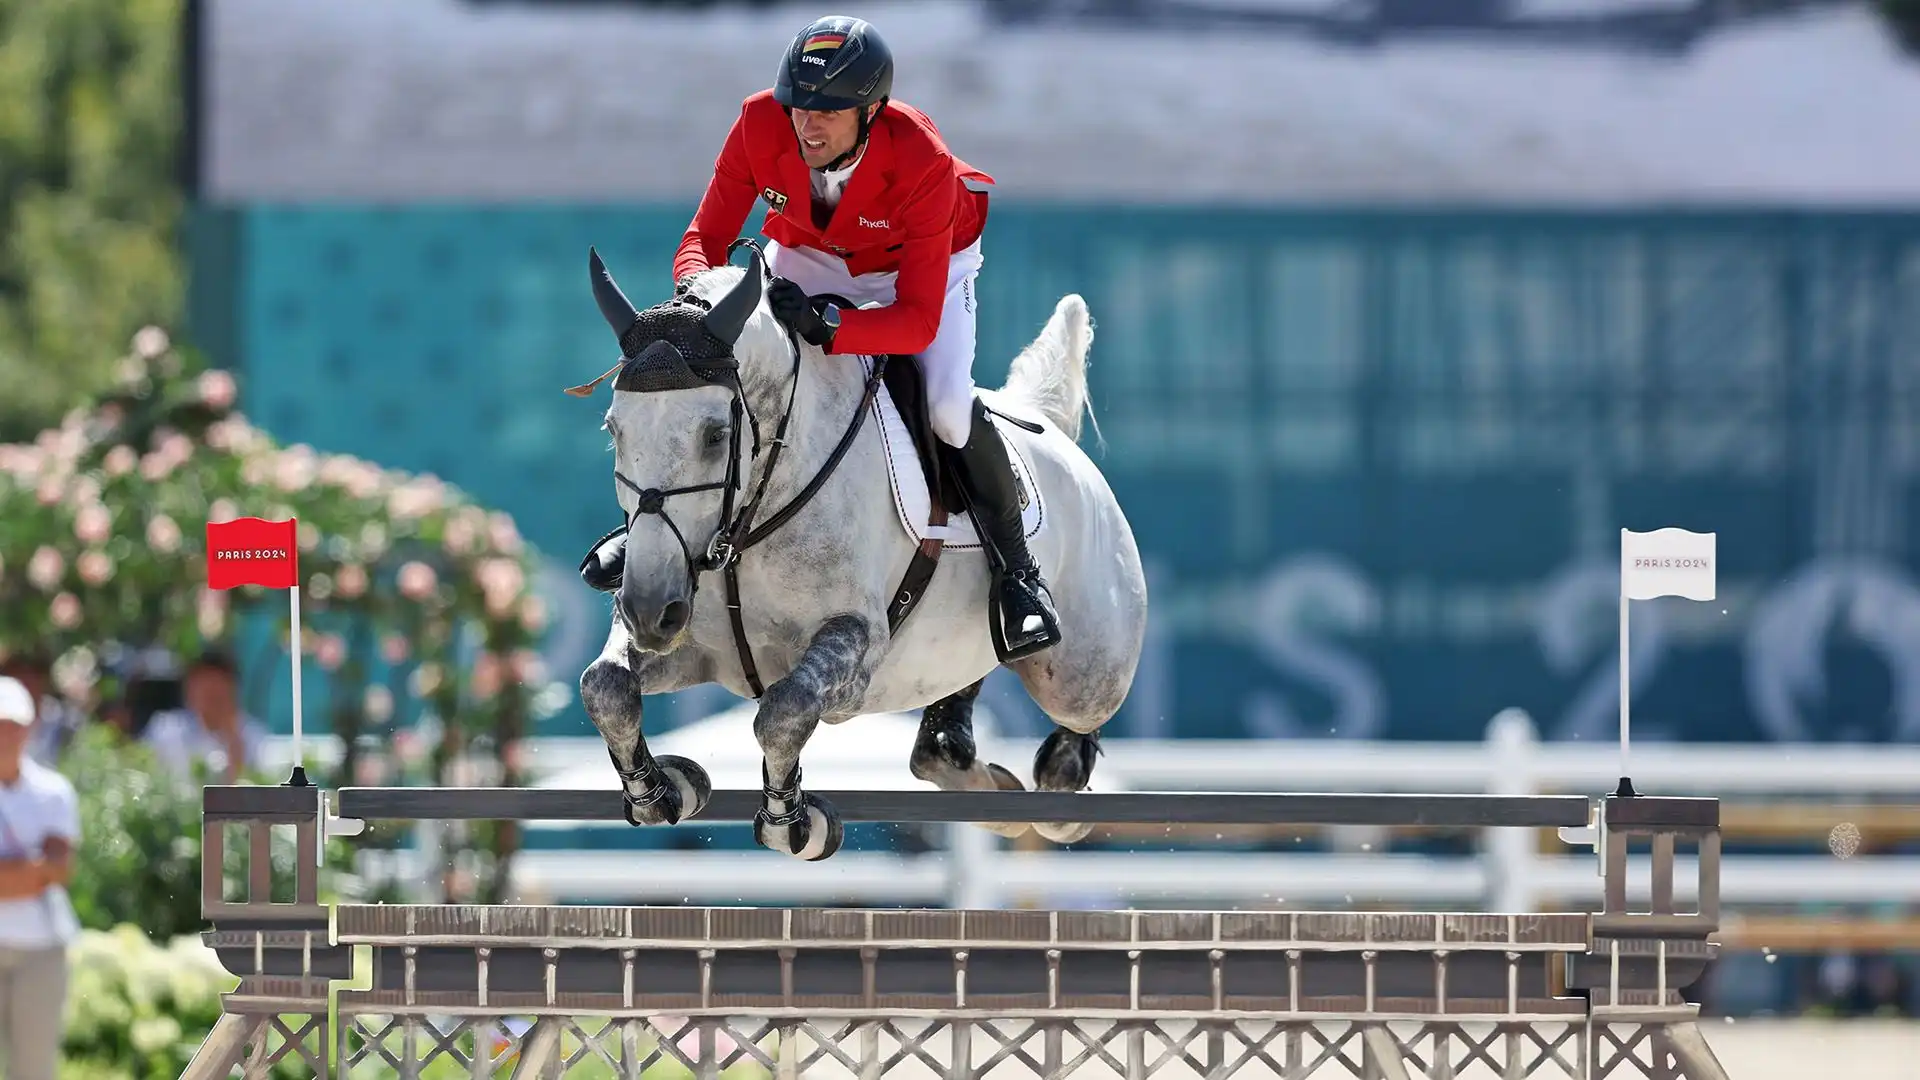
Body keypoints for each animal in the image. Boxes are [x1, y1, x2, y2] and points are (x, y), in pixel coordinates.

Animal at [564, 244, 1136, 857]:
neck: (750, 517)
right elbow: (604, 686)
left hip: (1086, 675)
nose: (652, 611)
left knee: (1075, 730)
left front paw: (793, 821)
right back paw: (982, 782)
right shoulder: (686, 638)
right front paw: (662, 788)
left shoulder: (854, 649)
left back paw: (1056, 785)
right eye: (614, 430)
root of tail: (1050, 427)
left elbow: (784, 710)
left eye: (716, 435)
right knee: (947, 730)